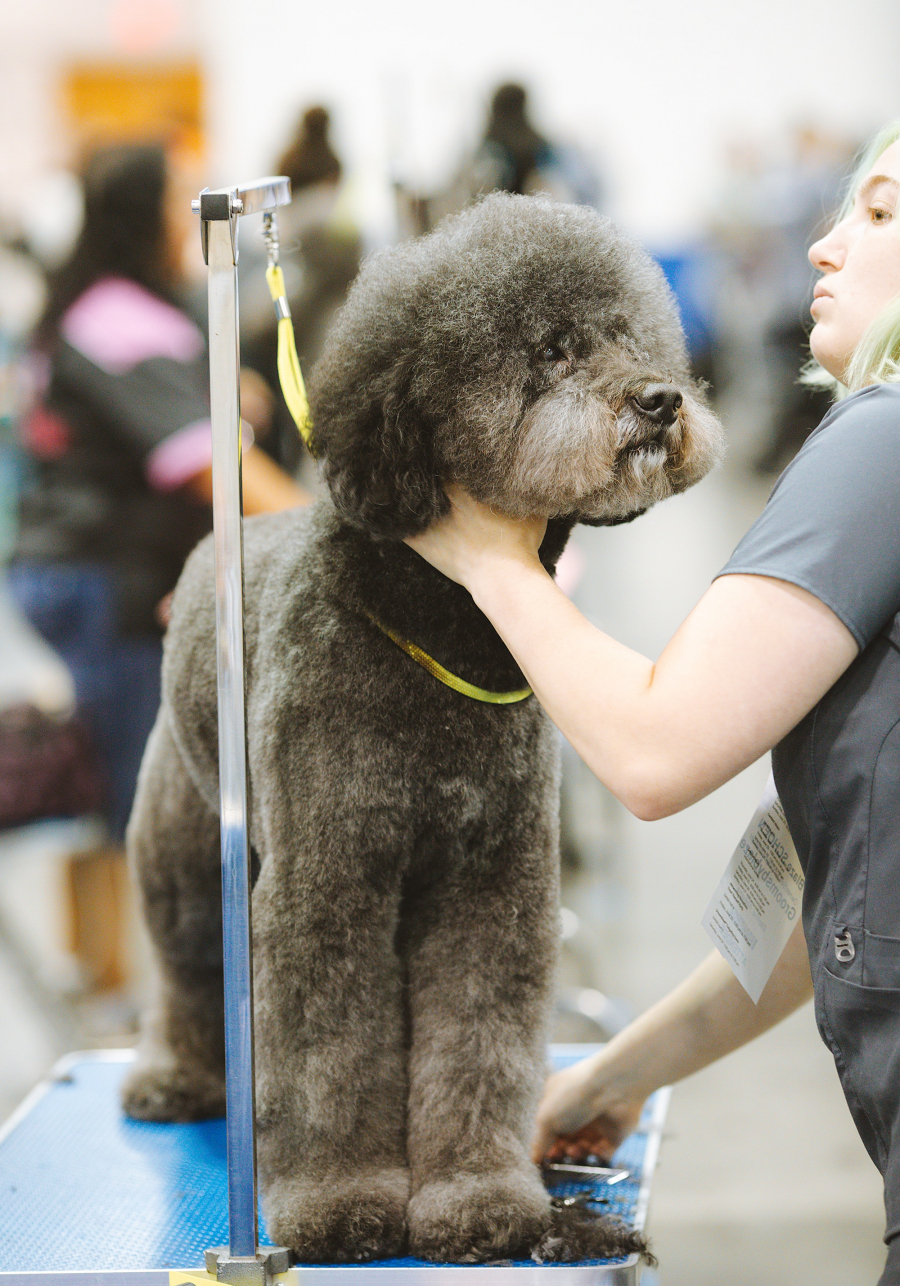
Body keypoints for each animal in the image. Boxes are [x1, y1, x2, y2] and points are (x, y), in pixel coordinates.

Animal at [121, 192, 725, 1265]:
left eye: (627, 335)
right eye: (552, 349)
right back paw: (176, 1080)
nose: (659, 401)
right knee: (189, 979)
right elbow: (327, 1056)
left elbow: (477, 1047)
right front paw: (338, 1202)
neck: (444, 625)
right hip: (189, 861)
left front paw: (479, 1199)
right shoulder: (327, 888)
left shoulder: (490, 891)